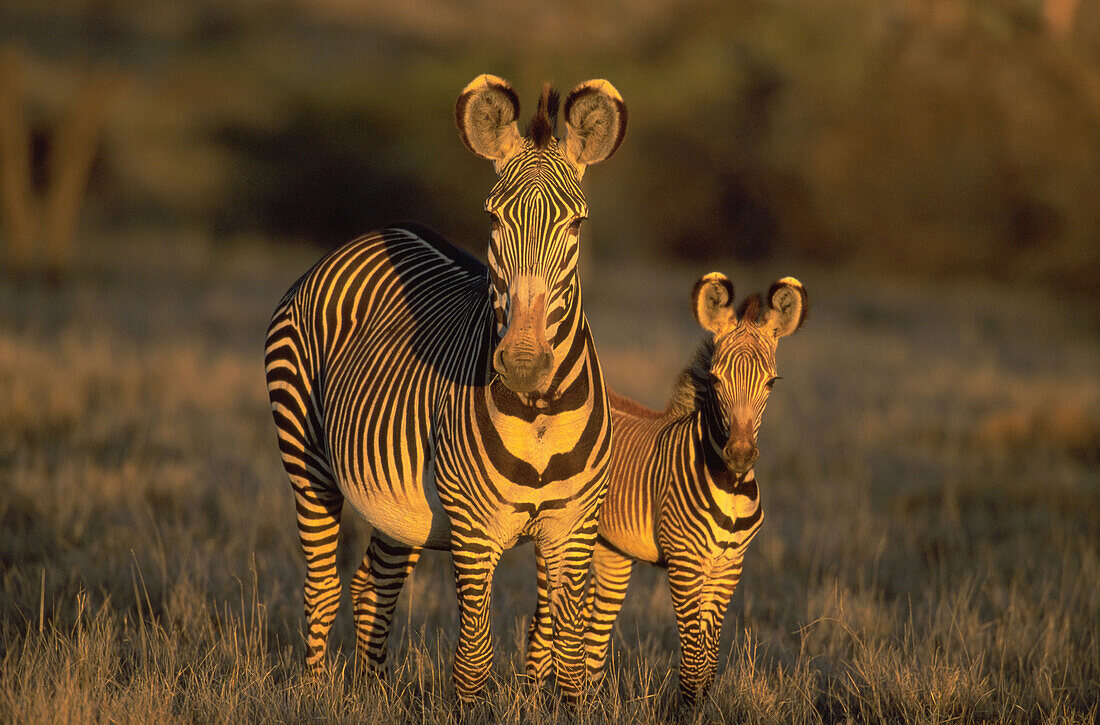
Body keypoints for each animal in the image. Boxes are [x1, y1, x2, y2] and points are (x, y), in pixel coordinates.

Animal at [262, 78, 629, 704]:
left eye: (577, 226)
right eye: (493, 220)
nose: (524, 364)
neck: (538, 410)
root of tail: (370, 235)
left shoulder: (574, 526)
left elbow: (569, 658)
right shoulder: (472, 528)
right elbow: (475, 659)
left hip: (399, 501)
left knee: (372, 585)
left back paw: (375, 694)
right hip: (306, 460)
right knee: (321, 586)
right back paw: (314, 693)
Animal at [528, 270, 805, 704]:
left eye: (771, 383)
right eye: (716, 379)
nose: (740, 455)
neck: (729, 485)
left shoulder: (729, 565)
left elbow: (709, 657)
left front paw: (705, 708)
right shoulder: (685, 562)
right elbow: (693, 657)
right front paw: (686, 709)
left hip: (611, 550)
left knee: (592, 632)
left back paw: (591, 703)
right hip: (555, 537)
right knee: (541, 628)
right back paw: (532, 704)